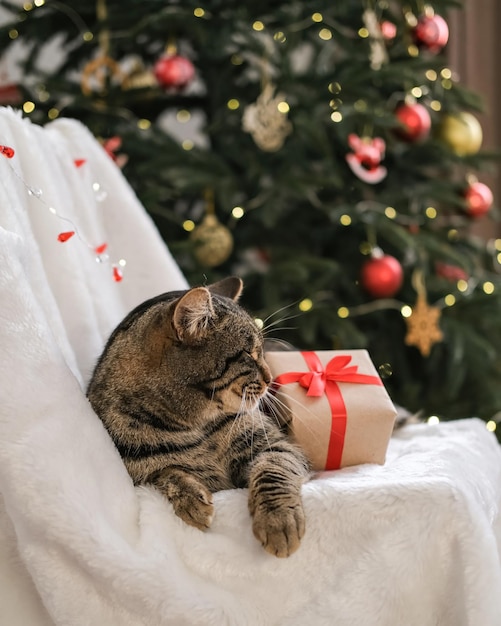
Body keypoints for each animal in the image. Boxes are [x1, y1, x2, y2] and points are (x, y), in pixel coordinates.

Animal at [88, 276, 310, 556]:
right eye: (248, 353)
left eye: (262, 351)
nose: (271, 378)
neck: (196, 427)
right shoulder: (135, 476)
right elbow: (163, 473)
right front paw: (191, 498)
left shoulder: (278, 447)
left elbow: (273, 473)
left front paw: (278, 520)